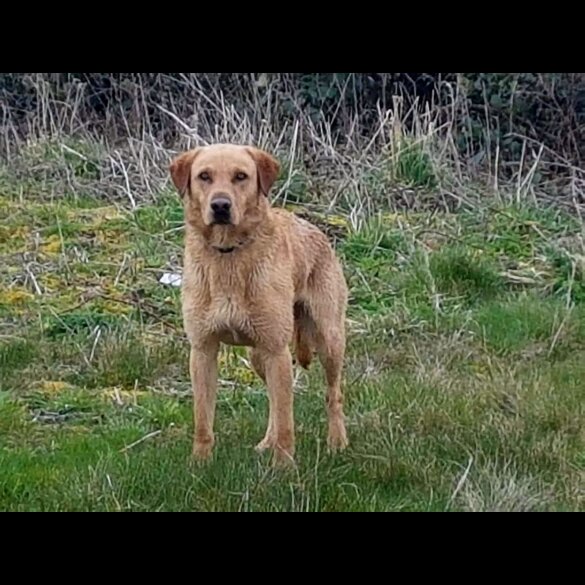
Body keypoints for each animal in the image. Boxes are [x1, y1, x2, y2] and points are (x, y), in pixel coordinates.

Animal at [167, 143, 346, 466]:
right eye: (204, 176)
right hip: (258, 356)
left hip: (328, 340)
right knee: (276, 400)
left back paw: (337, 442)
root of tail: (317, 231)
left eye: (241, 176)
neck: (228, 254)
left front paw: (284, 466)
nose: (220, 206)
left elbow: (288, 421)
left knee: (332, 394)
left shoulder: (276, 350)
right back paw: (266, 442)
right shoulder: (202, 350)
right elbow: (203, 419)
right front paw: (200, 463)